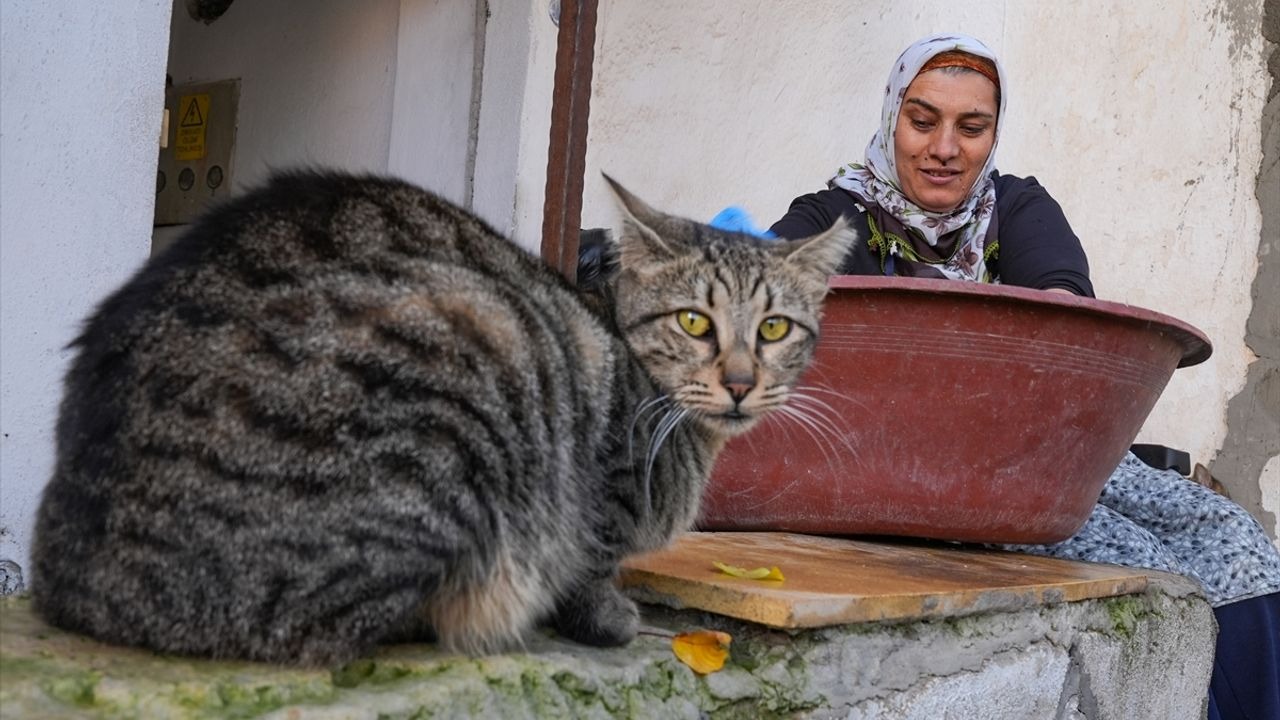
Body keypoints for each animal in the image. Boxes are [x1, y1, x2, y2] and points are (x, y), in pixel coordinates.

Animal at [30, 167, 855, 661]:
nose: (742, 382)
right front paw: (610, 617)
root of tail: (79, 583)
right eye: (692, 322)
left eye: (774, 329)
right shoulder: (598, 497)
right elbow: (590, 564)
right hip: (473, 348)